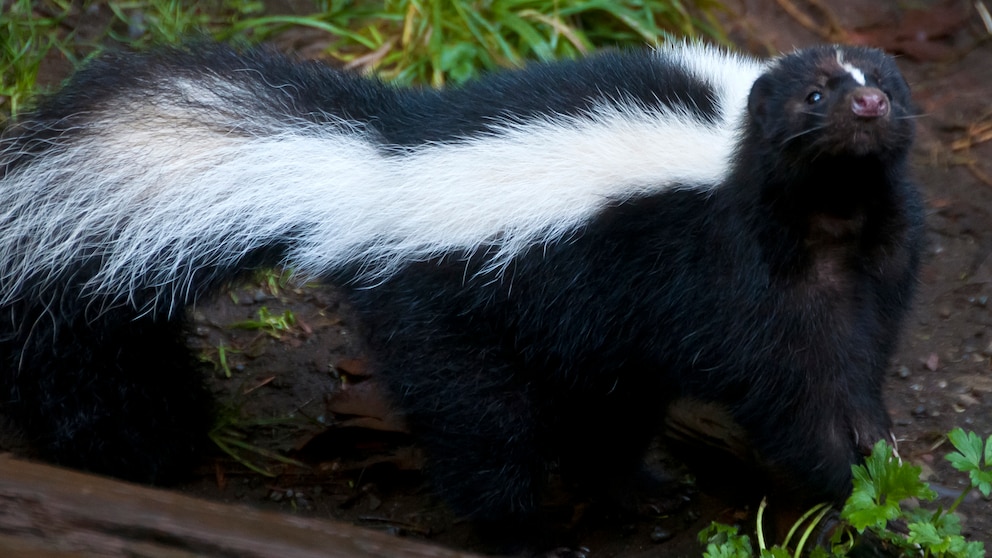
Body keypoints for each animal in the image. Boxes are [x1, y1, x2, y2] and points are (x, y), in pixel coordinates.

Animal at [0, 42, 924, 528]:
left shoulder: (872, 267)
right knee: (483, 432)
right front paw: (850, 489)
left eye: (884, 82)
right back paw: (531, 531)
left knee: (607, 416)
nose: (871, 106)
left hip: (585, 340)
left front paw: (880, 462)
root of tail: (365, 173)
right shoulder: (734, 268)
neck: (830, 208)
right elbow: (787, 385)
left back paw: (636, 490)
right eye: (815, 96)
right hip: (448, 315)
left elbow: (856, 366)